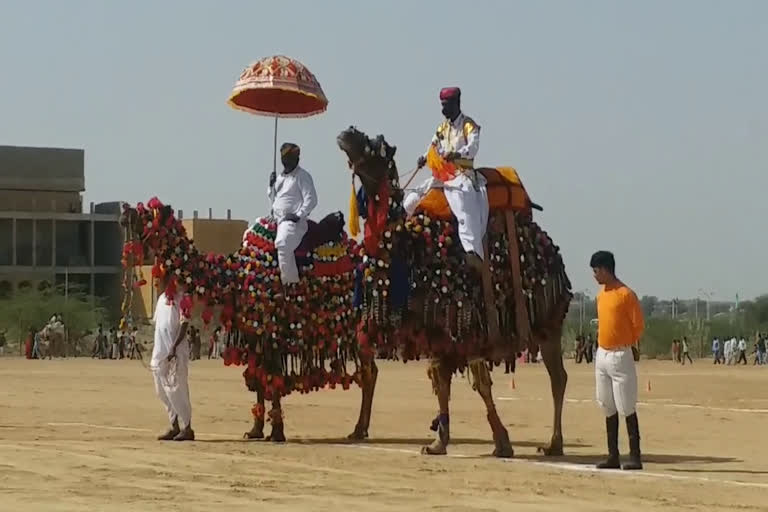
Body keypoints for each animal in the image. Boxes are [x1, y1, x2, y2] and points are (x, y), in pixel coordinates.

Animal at [121, 127, 568, 456]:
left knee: (556, 376)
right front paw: (256, 428)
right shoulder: (259, 328)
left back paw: (552, 444)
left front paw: (275, 432)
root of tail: (552, 249)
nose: (124, 213)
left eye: (375, 145)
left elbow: (270, 379)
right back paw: (360, 430)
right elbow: (259, 380)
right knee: (373, 373)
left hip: (546, 322)